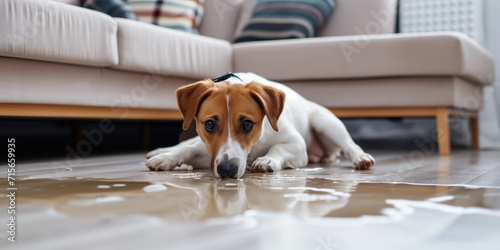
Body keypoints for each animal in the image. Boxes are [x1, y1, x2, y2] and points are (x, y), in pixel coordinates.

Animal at [146, 72, 374, 178]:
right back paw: (160, 152)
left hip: (325, 123)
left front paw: (267, 160)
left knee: (350, 145)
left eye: (247, 124)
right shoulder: (210, 151)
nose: (227, 170)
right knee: (186, 144)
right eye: (209, 124)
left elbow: (278, 147)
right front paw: (167, 158)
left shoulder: (297, 146)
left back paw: (361, 157)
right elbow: (188, 150)